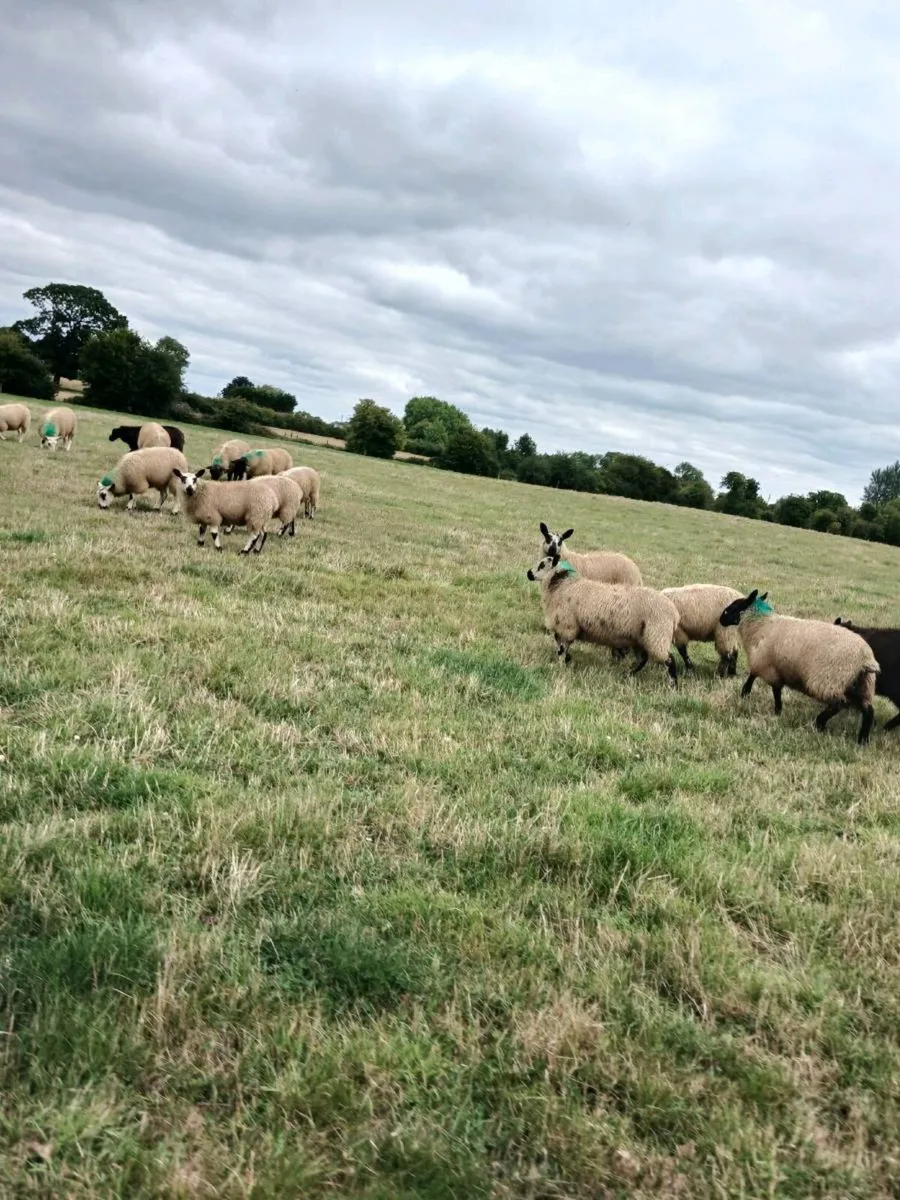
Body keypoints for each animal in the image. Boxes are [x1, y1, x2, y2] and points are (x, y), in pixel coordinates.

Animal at [526, 551, 679, 686]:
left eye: (542, 565)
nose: (528, 573)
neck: (562, 586)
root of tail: (674, 613)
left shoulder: (567, 626)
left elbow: (561, 648)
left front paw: (561, 665)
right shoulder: (564, 627)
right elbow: (560, 643)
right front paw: (567, 660)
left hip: (657, 637)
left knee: (669, 660)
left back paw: (672, 685)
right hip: (641, 639)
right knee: (642, 659)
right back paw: (628, 673)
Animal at [720, 590, 879, 744]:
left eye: (734, 606)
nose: (721, 619)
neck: (762, 625)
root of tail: (865, 659)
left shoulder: (766, 664)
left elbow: (765, 684)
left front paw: (772, 707)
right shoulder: (770, 666)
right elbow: (759, 680)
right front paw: (772, 708)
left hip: (830, 680)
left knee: (839, 705)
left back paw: (820, 723)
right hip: (861, 685)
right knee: (869, 711)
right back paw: (863, 740)